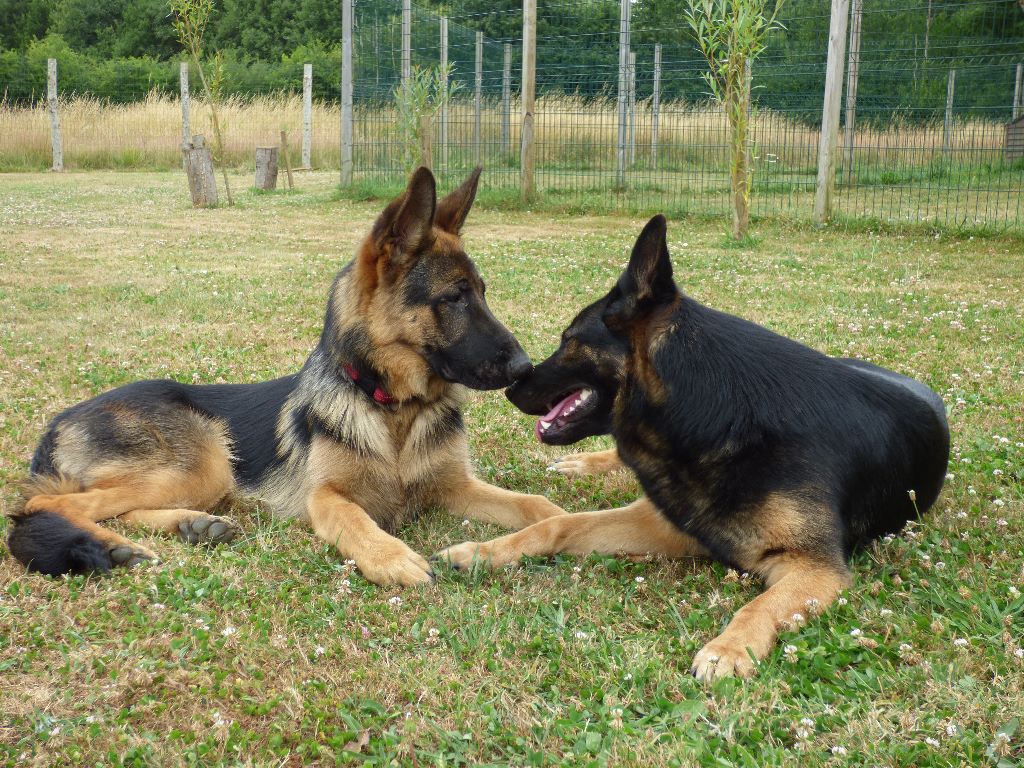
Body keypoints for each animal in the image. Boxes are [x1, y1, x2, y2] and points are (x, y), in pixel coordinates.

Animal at [8, 167, 565, 585]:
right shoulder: (325, 498)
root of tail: (58, 422)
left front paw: (560, 524)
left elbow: (535, 503)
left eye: (484, 293)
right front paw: (391, 557)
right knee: (44, 503)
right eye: (453, 298)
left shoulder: (456, 486)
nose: (525, 369)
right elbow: (356, 518)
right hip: (203, 463)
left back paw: (190, 525)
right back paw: (112, 546)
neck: (392, 409)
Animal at [436, 214, 946, 684]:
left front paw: (730, 648)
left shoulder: (815, 568)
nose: (512, 384)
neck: (721, 416)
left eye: (569, 340)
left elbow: (760, 604)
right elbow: (557, 524)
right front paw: (481, 552)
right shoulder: (661, 521)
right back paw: (582, 463)